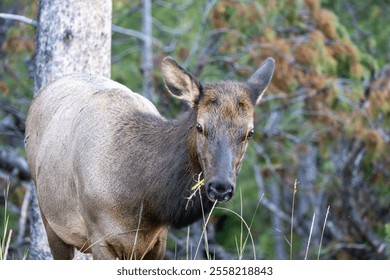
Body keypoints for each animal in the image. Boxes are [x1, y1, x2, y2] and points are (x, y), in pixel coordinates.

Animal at [25, 57, 274, 260]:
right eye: (200, 127)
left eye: (249, 132)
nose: (220, 186)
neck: (145, 202)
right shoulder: (100, 238)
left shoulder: (158, 241)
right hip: (50, 219)